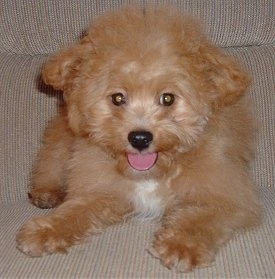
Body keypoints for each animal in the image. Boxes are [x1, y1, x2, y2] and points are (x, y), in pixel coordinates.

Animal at [16, 6, 262, 274]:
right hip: (62, 142)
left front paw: (181, 246)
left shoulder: (229, 197)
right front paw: (45, 231)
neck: (152, 174)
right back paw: (46, 194)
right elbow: (75, 210)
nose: (140, 138)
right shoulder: (100, 188)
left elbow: (201, 217)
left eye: (167, 98)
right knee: (49, 164)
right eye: (117, 98)